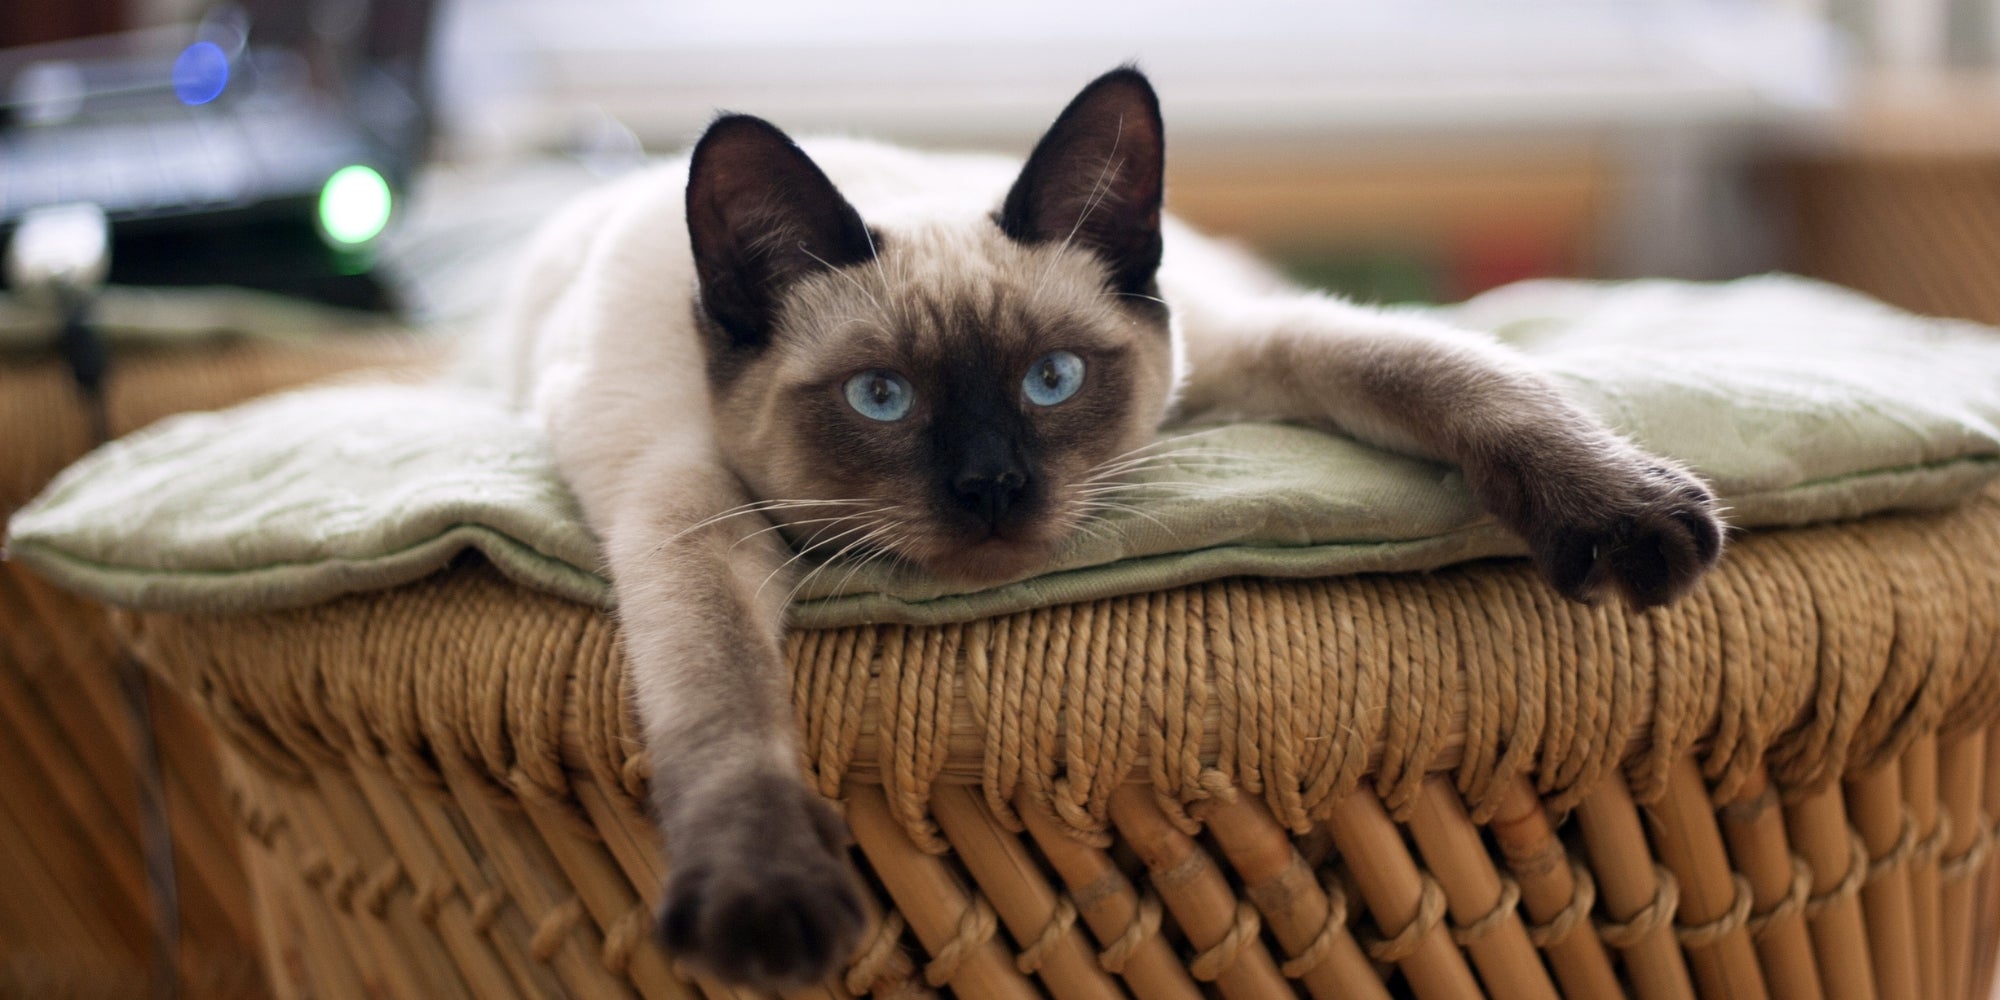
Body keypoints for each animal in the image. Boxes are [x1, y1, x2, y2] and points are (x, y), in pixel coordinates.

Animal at [492, 66, 1728, 988]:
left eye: (1053, 380)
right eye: (882, 399)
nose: (992, 487)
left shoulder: (1248, 352)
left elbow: (1445, 370)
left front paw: (1625, 511)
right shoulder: (687, 513)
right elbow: (722, 695)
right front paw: (764, 898)